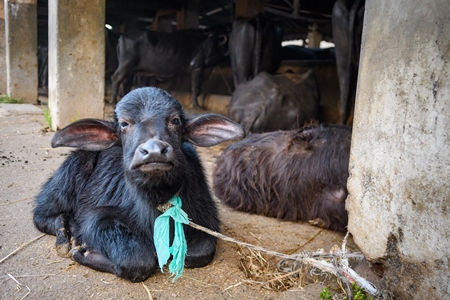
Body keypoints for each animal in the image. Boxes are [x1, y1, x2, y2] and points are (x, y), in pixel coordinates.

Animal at [33, 86, 244, 282]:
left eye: (175, 120)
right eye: (124, 124)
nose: (154, 151)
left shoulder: (205, 217)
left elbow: (198, 253)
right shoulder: (97, 218)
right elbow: (137, 261)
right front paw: (83, 250)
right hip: (72, 170)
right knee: (42, 215)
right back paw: (64, 238)